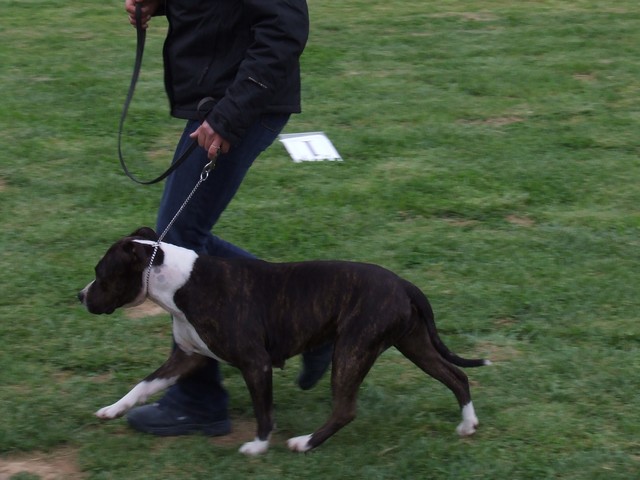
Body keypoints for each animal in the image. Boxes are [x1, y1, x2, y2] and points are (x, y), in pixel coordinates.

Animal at [80, 228, 490, 454]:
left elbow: (264, 411)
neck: (181, 282)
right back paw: (467, 425)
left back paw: (305, 443)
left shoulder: (255, 364)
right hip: (414, 344)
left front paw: (259, 446)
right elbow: (143, 385)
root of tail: (404, 284)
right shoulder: (188, 357)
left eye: (101, 273)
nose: (80, 295)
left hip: (352, 351)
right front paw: (112, 410)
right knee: (456, 376)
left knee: (345, 409)